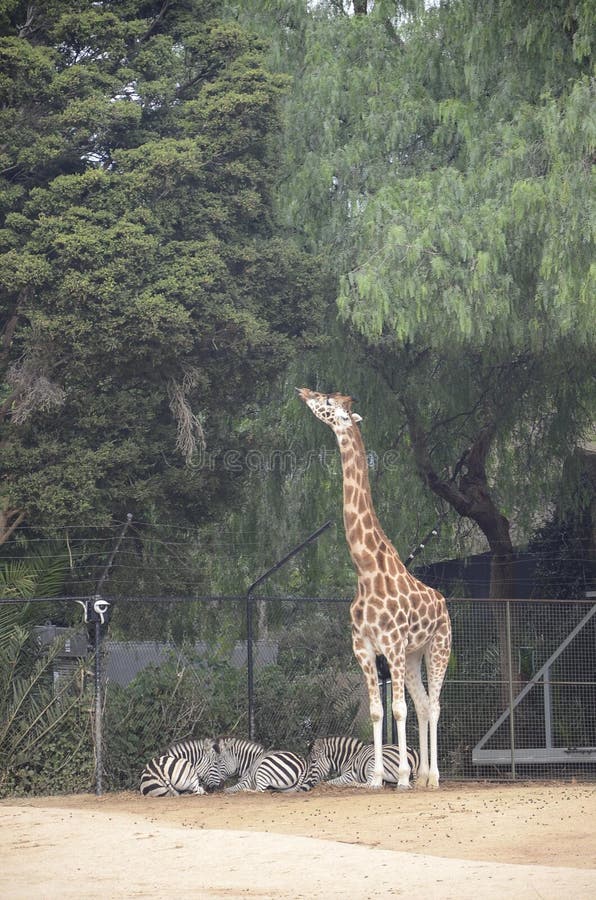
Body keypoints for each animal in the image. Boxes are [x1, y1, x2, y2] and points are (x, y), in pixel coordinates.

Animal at [297, 388, 452, 789]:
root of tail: (443, 602)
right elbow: (377, 711)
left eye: (329, 403)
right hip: (414, 655)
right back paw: (424, 777)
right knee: (424, 703)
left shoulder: (392, 645)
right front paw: (378, 777)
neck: (365, 569)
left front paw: (401, 778)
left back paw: (433, 777)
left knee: (435, 704)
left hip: (438, 647)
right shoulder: (364, 647)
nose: (304, 392)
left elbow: (397, 709)